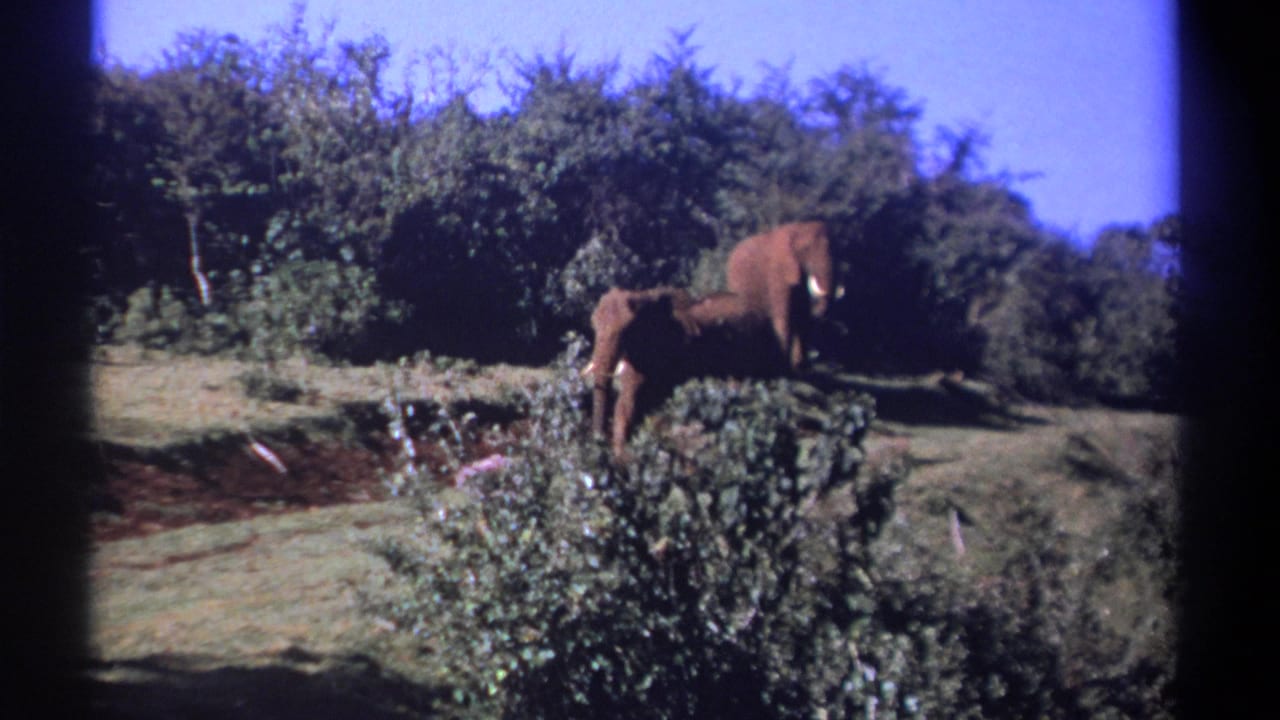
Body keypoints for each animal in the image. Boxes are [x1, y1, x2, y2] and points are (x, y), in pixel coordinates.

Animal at [584, 287, 783, 454]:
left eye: (626, 330)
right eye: (593, 325)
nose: (599, 440)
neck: (644, 297)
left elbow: (629, 401)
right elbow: (627, 403)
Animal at [726, 221, 839, 371]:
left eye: (836, 250)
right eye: (806, 249)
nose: (818, 311)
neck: (798, 228)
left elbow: (802, 318)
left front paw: (800, 367)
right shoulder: (778, 273)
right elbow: (783, 316)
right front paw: (783, 365)